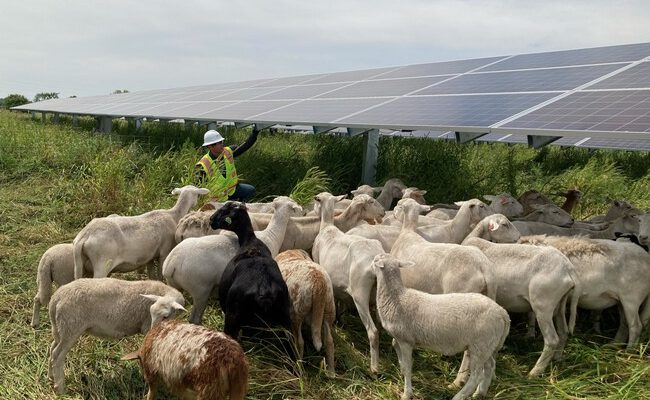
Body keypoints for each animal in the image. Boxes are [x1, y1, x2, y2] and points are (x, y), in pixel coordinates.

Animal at [47, 278, 185, 394]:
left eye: (165, 316)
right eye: (151, 313)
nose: (153, 332)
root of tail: (55, 298)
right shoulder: (146, 326)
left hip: (60, 328)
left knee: (52, 348)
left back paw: (51, 376)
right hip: (71, 327)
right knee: (57, 355)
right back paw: (61, 389)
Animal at [74, 186, 210, 280]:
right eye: (197, 195)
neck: (174, 215)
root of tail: (85, 235)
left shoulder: (150, 256)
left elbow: (152, 275)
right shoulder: (164, 251)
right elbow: (160, 273)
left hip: (81, 265)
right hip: (102, 263)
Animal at [208, 203, 292, 344]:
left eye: (225, 210)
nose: (211, 220)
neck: (250, 241)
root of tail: (264, 289)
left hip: (233, 318)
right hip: (286, 319)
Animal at [274, 248, 334, 376]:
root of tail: (318, 282)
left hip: (297, 312)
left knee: (299, 342)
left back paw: (298, 370)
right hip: (329, 309)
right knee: (329, 342)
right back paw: (331, 372)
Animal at [372, 253, 508, 400]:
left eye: (375, 260)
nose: (370, 265)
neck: (396, 297)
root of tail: (502, 313)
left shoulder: (406, 341)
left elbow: (408, 368)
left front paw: (407, 393)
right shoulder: (400, 337)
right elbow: (396, 350)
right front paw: (401, 372)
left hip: (479, 345)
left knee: (476, 376)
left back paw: (459, 395)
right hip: (489, 345)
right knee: (490, 367)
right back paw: (480, 393)